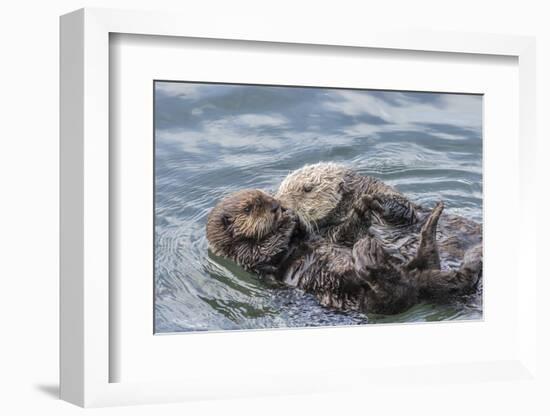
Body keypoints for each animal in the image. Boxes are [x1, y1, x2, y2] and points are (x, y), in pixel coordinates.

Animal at [207, 189, 484, 316]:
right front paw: (287, 221)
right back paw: (368, 257)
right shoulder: (249, 257)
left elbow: (338, 235)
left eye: (266, 197)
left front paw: (364, 205)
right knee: (390, 293)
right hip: (365, 299)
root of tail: (418, 285)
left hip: (420, 273)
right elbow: (268, 248)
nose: (276, 206)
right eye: (250, 208)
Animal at [276, 162, 484, 266]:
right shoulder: (329, 235)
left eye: (307, 188)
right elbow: (344, 235)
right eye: (281, 188)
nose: (280, 203)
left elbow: (402, 208)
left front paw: (373, 201)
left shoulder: (391, 194)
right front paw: (360, 211)